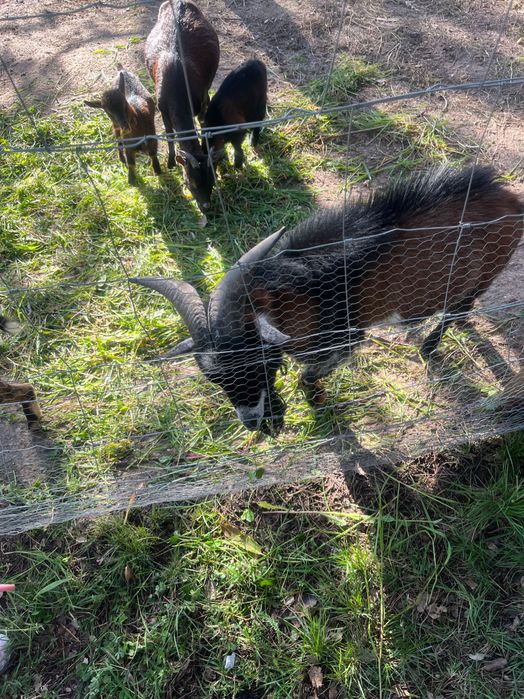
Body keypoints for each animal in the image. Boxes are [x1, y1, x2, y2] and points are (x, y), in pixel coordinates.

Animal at [132, 166, 523, 434]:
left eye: (260, 363)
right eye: (214, 379)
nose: (256, 423)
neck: (299, 292)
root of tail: (513, 201)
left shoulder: (346, 338)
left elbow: (309, 376)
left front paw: (315, 399)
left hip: (488, 270)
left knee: (462, 306)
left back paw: (429, 345)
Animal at [145, 0, 220, 212]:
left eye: (212, 180)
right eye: (189, 182)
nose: (206, 206)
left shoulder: (203, 98)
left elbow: (203, 123)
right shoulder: (161, 107)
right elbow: (170, 134)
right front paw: (170, 162)